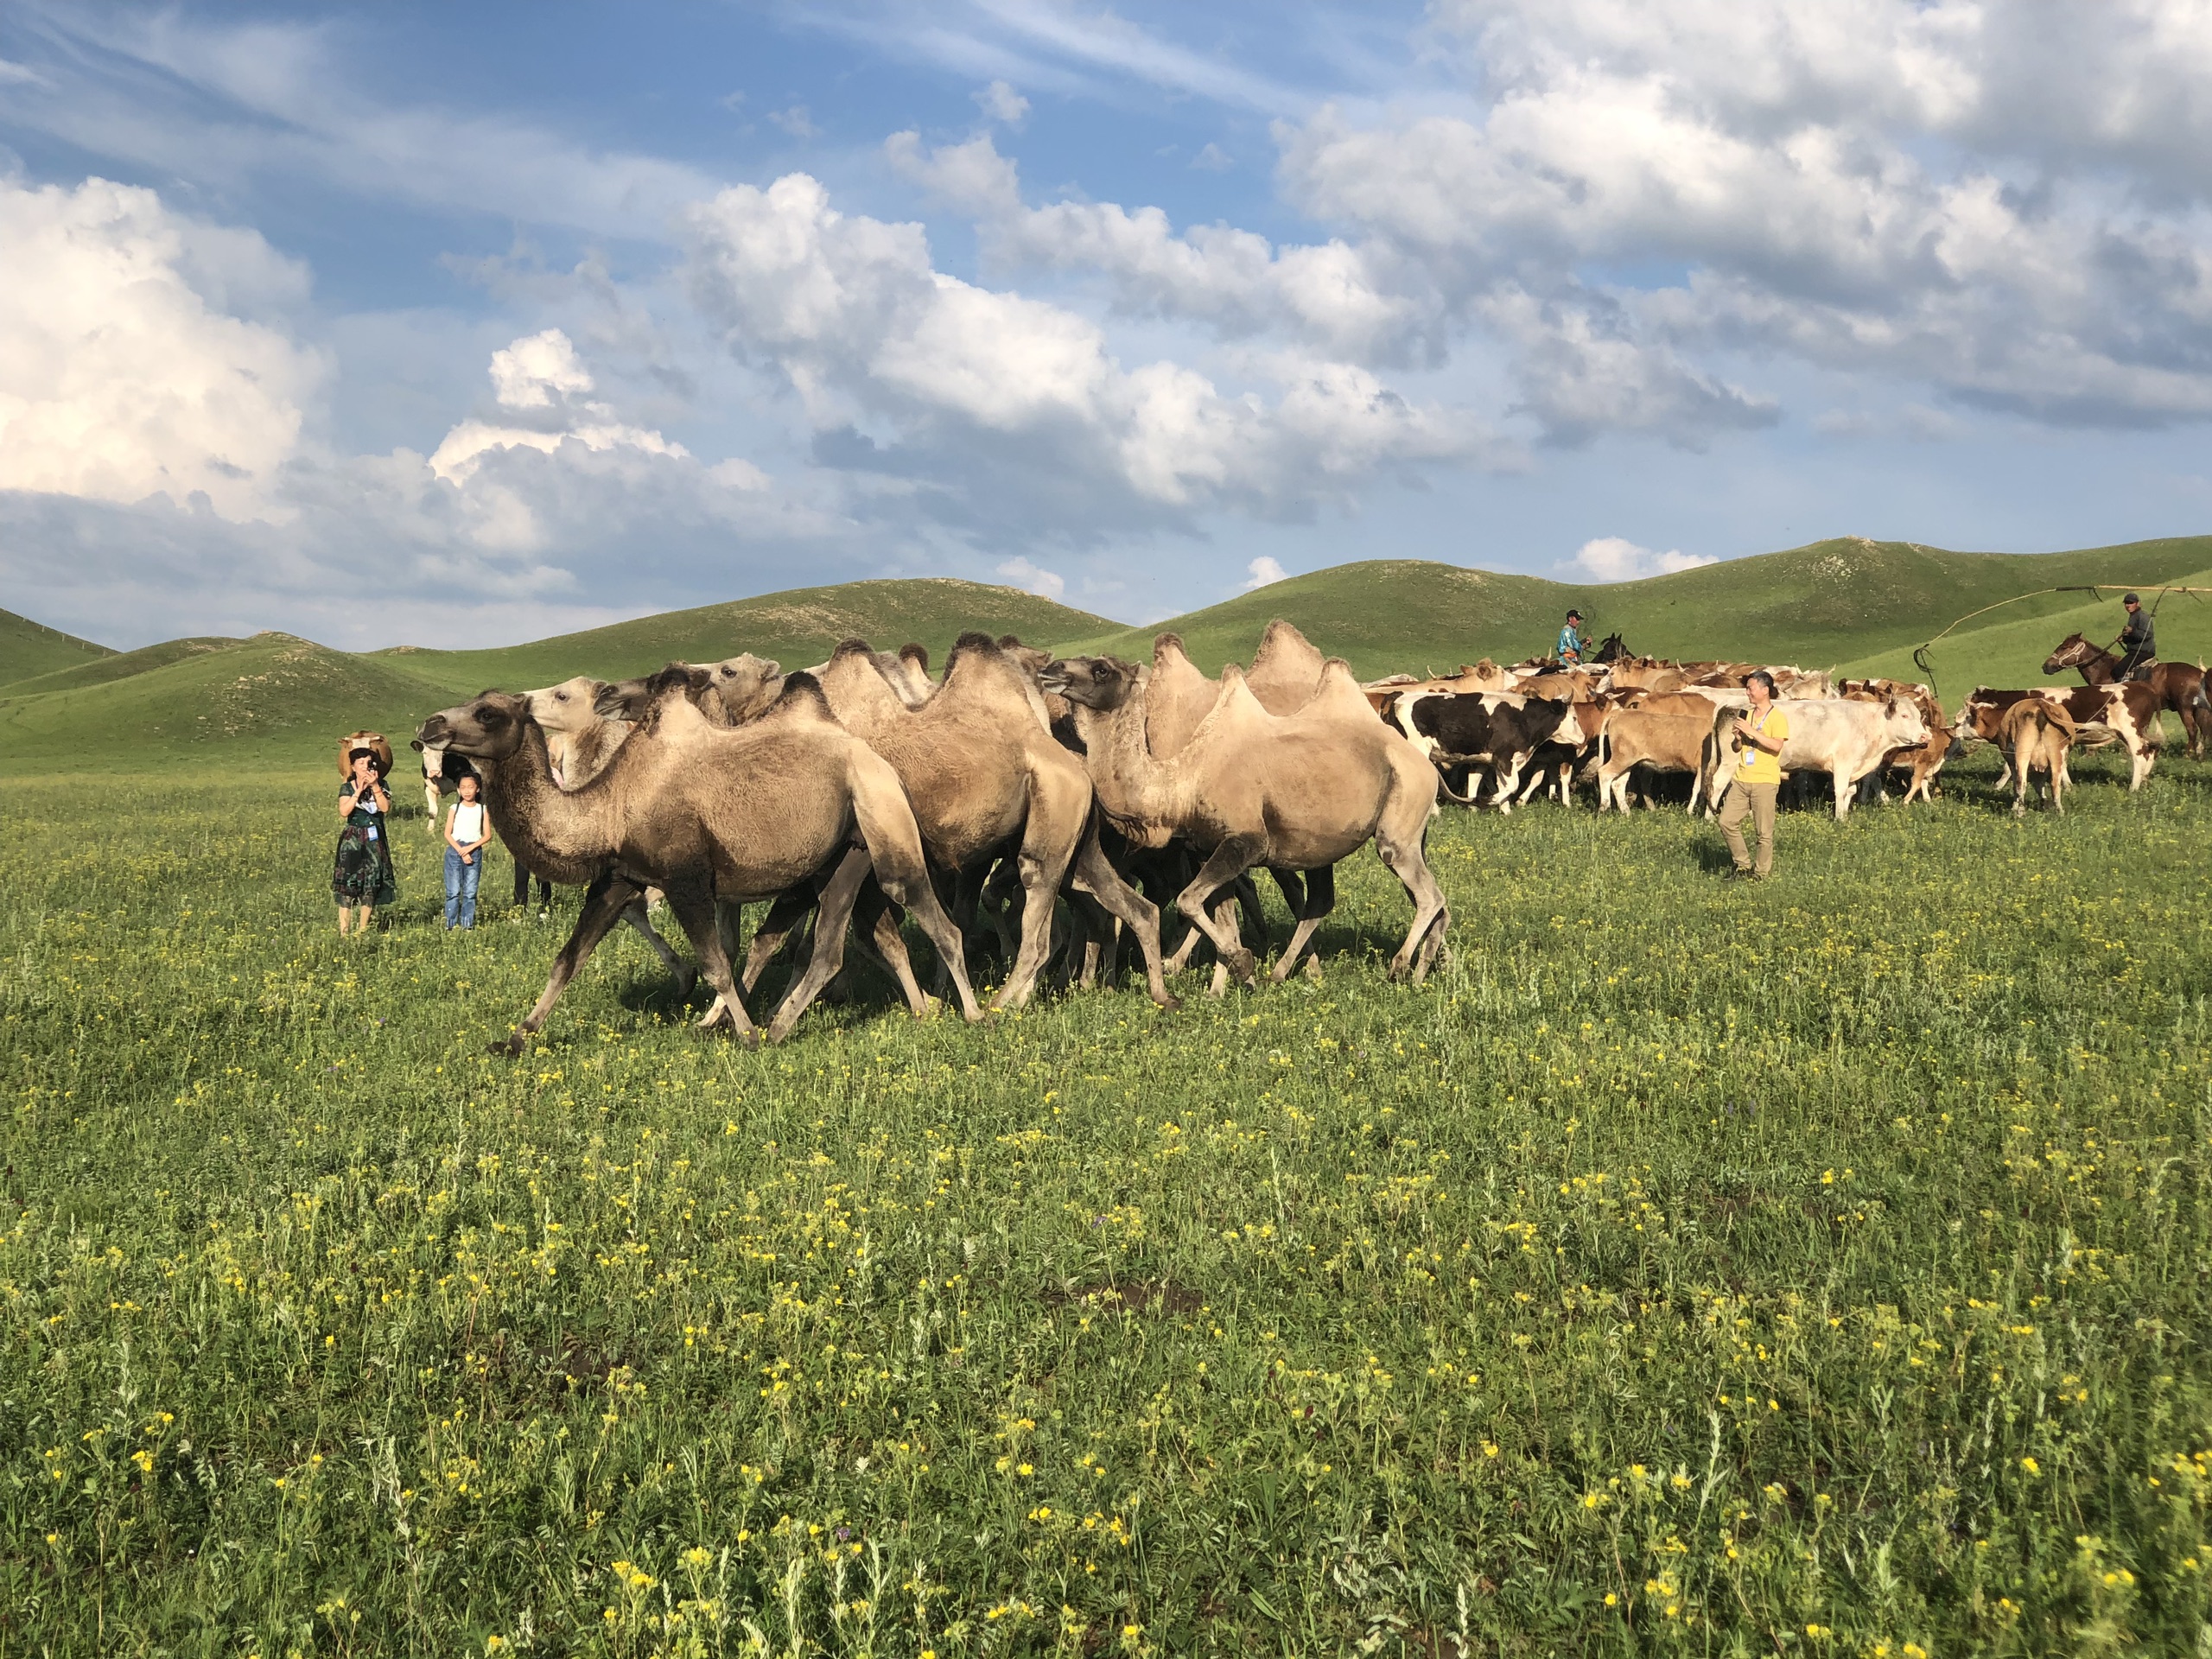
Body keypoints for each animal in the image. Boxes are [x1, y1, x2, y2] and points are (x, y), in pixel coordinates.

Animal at [417, 685, 982, 1052]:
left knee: (924, 911)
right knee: (850, 941)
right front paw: (516, 1037)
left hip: (884, 821)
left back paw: (975, 1014)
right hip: (845, 856)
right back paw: (895, 1012)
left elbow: (715, 962)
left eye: (487, 712)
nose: (427, 725)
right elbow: (568, 959)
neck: (611, 805)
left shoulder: (684, 878)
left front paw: (745, 1034)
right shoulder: (618, 878)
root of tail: (880, 762)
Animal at [1048, 650, 1459, 986]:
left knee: (1426, 894)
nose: (1052, 669)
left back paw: (1400, 966)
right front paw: (1222, 985)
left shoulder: (1245, 841)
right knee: (1350, 899)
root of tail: (1424, 764)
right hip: (1372, 837)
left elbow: (1188, 900)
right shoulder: (1209, 848)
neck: (1182, 783)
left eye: (1101, 669)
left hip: (1399, 823)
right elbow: (1217, 911)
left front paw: (1238, 964)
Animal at [2044, 632, 2202, 765]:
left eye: (2064, 647)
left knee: (2192, 730)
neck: (2104, 671)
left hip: (2184, 708)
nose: (2046, 666)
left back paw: (2187, 755)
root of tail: (2200, 673)